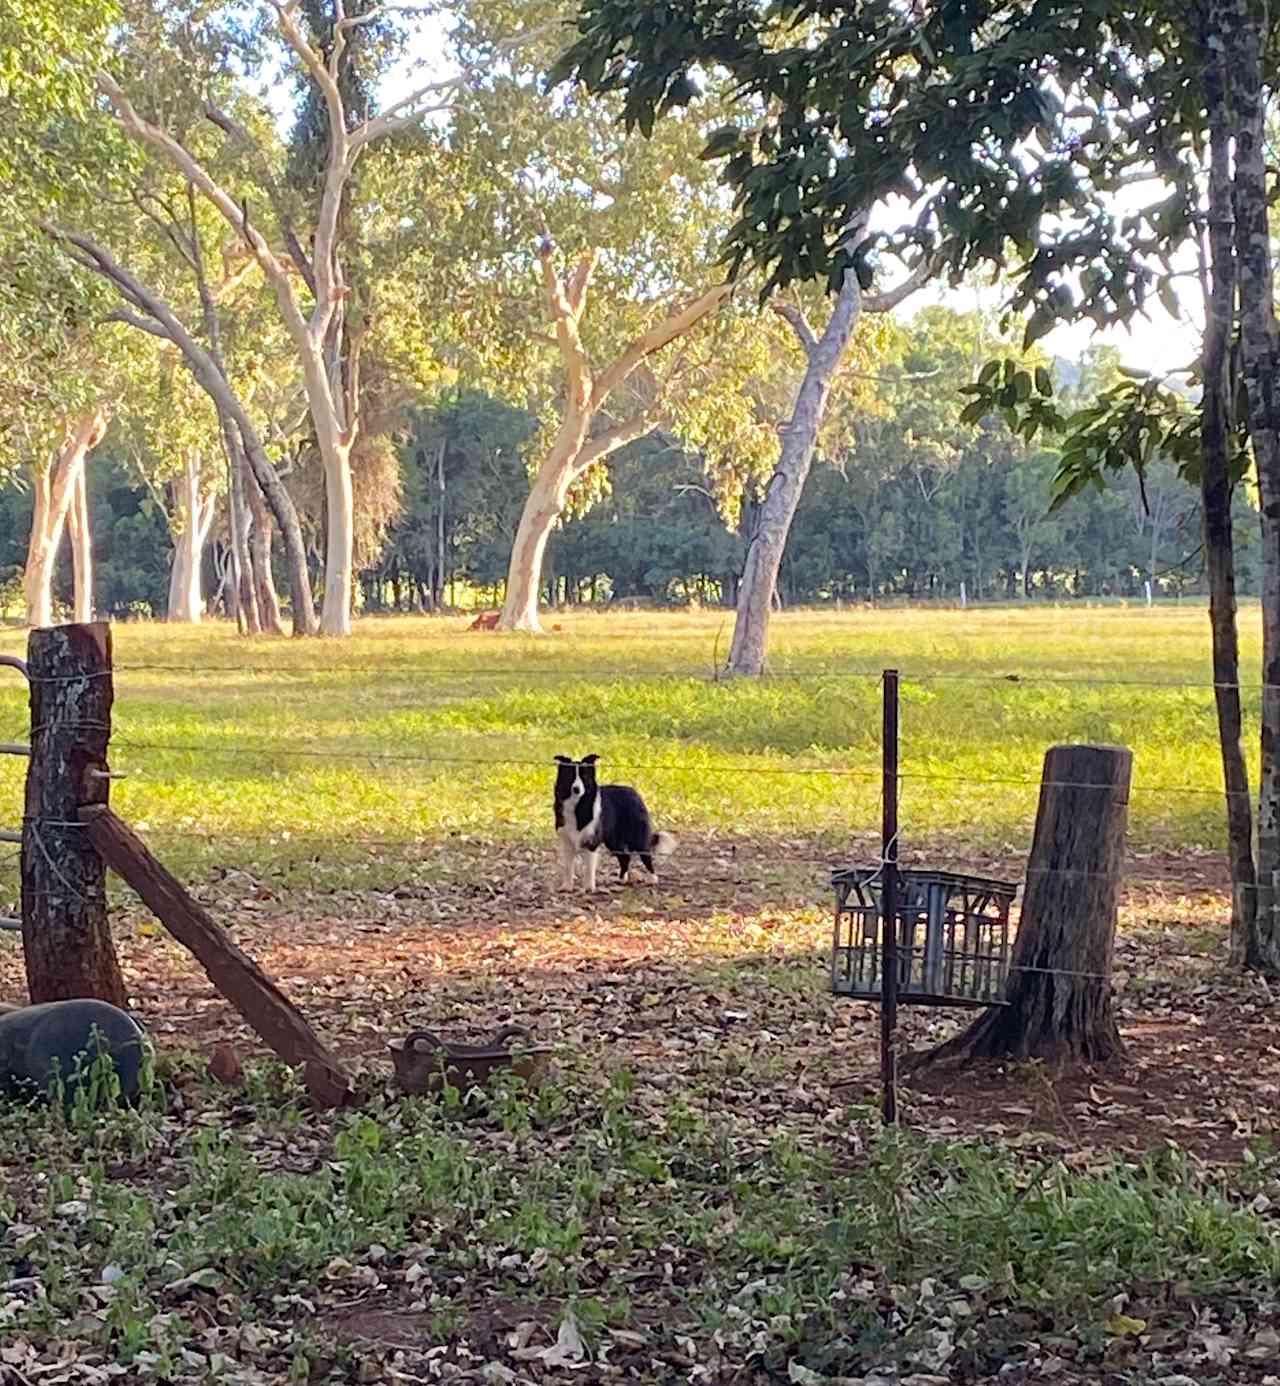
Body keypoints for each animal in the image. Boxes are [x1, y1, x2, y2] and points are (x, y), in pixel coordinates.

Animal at [556, 753, 678, 892]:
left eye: (584, 777)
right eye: (570, 776)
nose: (576, 789)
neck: (577, 804)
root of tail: (634, 792)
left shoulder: (592, 841)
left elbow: (589, 869)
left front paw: (589, 888)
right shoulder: (567, 841)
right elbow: (568, 867)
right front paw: (566, 887)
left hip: (637, 837)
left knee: (645, 855)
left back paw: (652, 878)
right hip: (613, 840)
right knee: (625, 857)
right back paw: (621, 879)